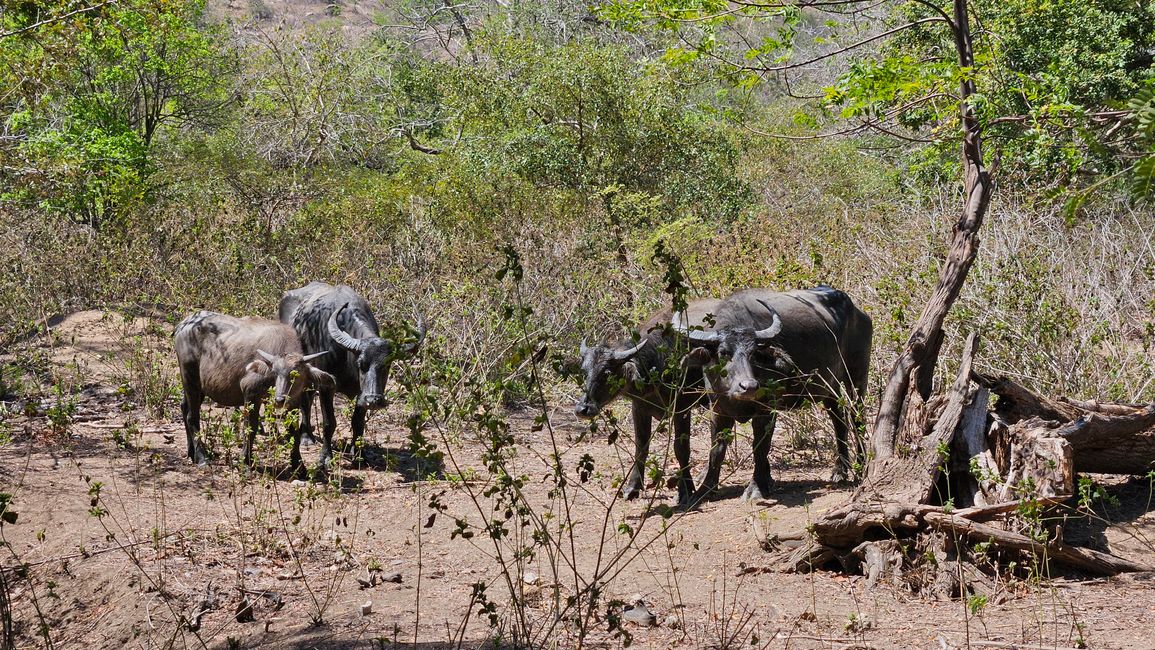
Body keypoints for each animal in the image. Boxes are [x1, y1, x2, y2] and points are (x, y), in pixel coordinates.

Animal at [173, 311, 334, 471]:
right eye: (275, 372)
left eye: (296, 375)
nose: (279, 400)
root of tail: (183, 325)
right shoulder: (250, 393)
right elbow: (251, 427)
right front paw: (245, 461)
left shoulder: (294, 401)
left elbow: (292, 431)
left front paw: (298, 466)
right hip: (190, 378)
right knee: (192, 417)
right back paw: (202, 457)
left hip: (199, 387)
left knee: (184, 407)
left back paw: (191, 452)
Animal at [277, 280, 427, 468]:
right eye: (361, 364)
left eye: (386, 366)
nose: (374, 399)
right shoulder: (327, 386)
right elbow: (329, 422)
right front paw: (326, 457)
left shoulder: (361, 392)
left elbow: (358, 422)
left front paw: (360, 456)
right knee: (305, 401)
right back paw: (306, 437)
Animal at [572, 297, 716, 505]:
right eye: (584, 371)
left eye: (607, 373)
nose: (582, 409)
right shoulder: (639, 408)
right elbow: (641, 446)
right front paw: (632, 487)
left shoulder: (682, 408)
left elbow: (681, 448)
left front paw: (686, 489)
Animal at [674, 287, 868, 505]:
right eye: (723, 352)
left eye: (753, 353)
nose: (749, 386)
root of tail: (858, 312)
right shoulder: (718, 409)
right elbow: (716, 450)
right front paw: (704, 490)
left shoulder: (766, 409)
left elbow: (760, 447)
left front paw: (757, 487)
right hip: (829, 387)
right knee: (838, 420)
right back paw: (840, 470)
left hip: (856, 377)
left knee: (857, 418)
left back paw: (860, 467)